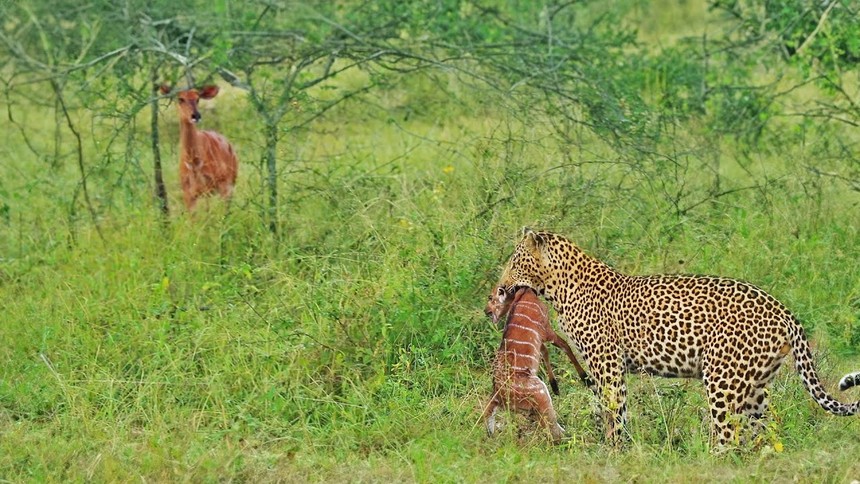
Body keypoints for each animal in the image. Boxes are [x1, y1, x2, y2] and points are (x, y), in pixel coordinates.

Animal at [158, 83, 237, 212]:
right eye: (180, 99)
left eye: (198, 98)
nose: (196, 115)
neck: (194, 162)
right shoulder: (188, 193)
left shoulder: (212, 187)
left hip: (228, 184)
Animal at [480, 288, 596, 442]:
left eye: (490, 297)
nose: (486, 311)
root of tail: (498, 396)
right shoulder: (546, 329)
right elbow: (566, 346)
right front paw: (586, 379)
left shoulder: (541, 339)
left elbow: (546, 352)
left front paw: (556, 386)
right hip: (540, 393)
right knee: (554, 431)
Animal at [498, 229, 860, 448]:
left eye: (515, 261)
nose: (500, 287)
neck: (560, 287)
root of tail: (783, 310)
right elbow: (615, 412)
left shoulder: (607, 366)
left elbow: (613, 413)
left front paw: (612, 450)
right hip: (756, 385)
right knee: (760, 432)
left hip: (723, 379)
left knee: (728, 435)